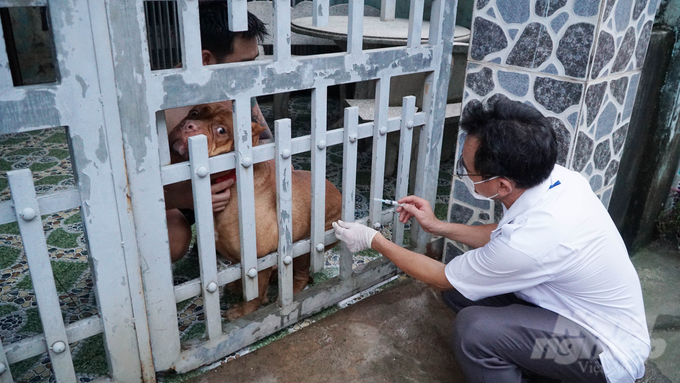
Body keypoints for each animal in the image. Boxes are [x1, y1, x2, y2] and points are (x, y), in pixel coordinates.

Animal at [168, 103, 342, 320]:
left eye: (221, 130)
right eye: (194, 112)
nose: (188, 125)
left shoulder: (259, 259)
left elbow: (256, 292)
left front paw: (244, 311)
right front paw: (238, 286)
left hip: (306, 245)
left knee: (301, 275)